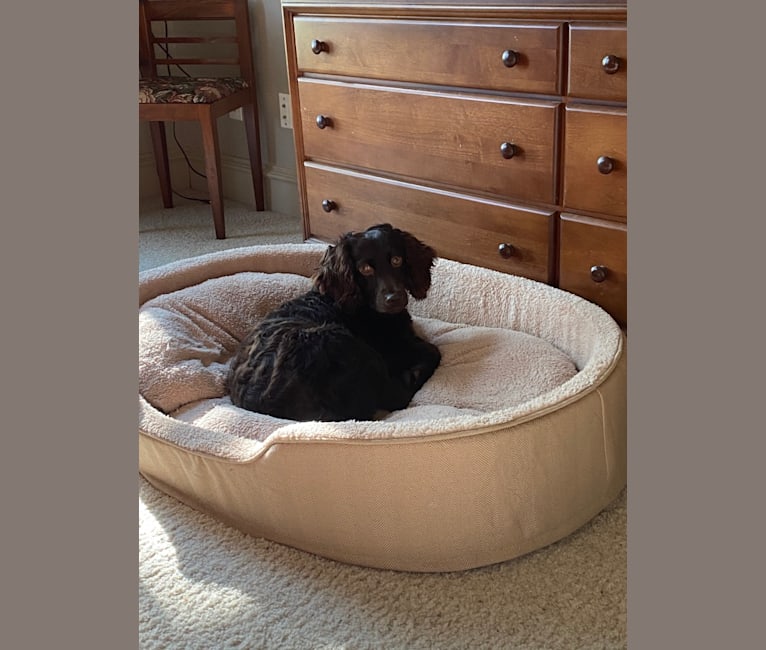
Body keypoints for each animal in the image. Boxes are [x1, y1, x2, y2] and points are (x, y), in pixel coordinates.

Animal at [228, 224, 440, 420]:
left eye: (397, 260)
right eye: (365, 269)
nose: (394, 298)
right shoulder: (393, 349)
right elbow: (433, 350)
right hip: (347, 345)